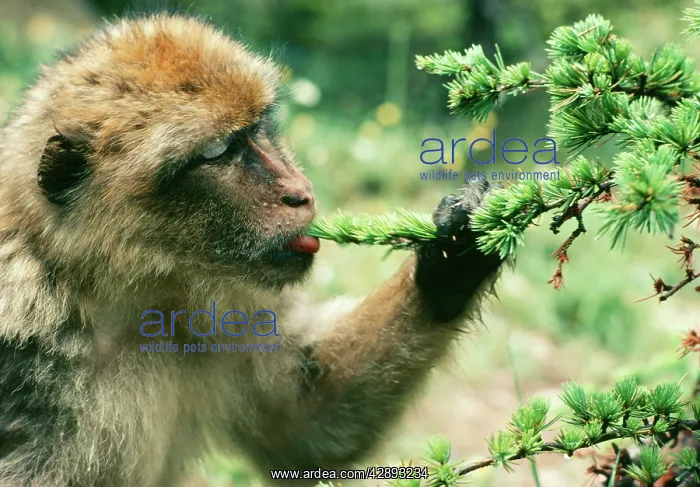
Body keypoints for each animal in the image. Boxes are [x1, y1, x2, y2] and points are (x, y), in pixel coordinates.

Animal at [0, 13, 504, 487]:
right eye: (217, 151)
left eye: (258, 128)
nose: (301, 192)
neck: (109, 293)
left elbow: (307, 424)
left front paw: (457, 253)